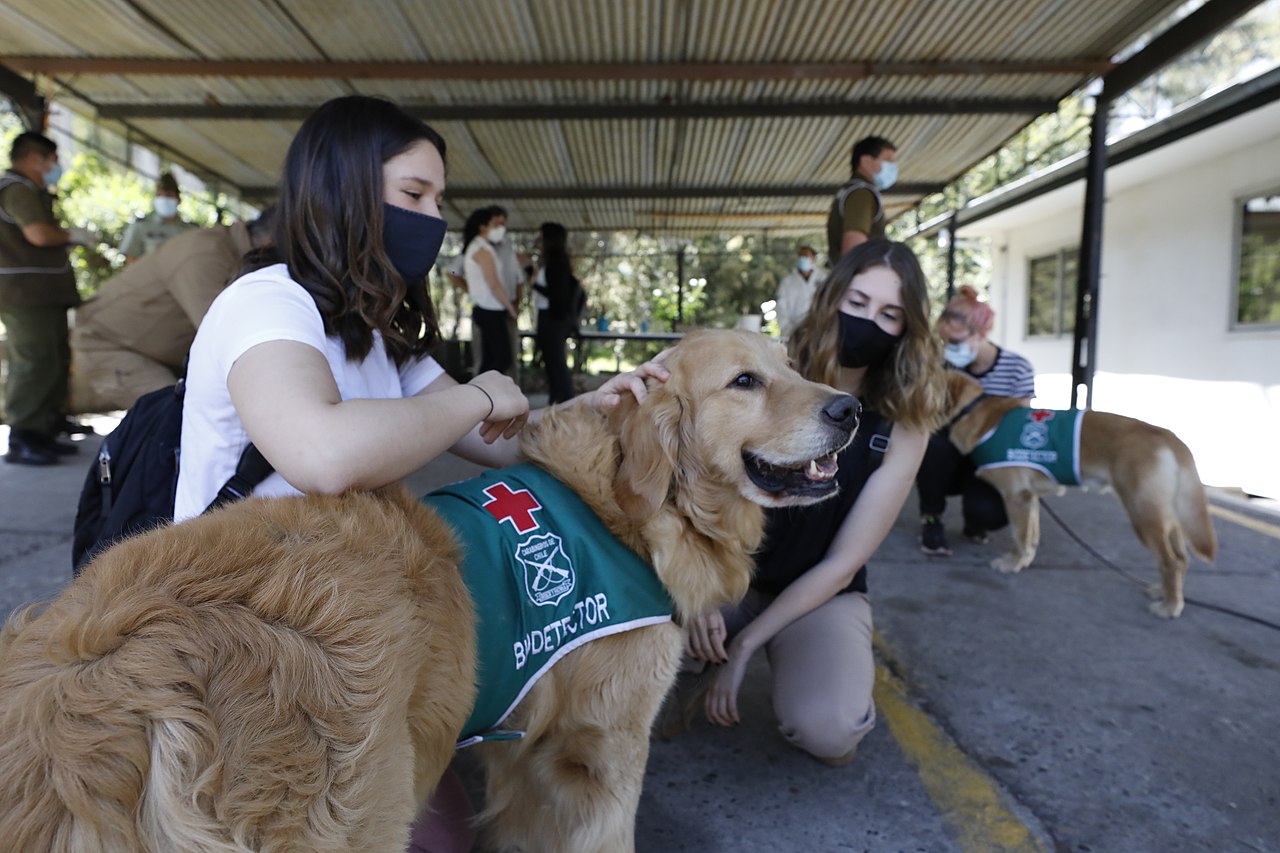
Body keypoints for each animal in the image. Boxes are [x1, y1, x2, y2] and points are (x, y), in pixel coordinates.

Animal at [2, 327, 860, 845]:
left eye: (792, 365)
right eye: (745, 381)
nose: (852, 407)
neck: (624, 509)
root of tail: (96, 673)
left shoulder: (526, 751)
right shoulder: (605, 748)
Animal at [947, 368, 1213, 614]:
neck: (973, 411)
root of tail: (1168, 435)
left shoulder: (1016, 497)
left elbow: (1019, 537)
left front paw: (1012, 563)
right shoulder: (1031, 497)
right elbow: (1031, 535)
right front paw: (1024, 561)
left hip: (1143, 515)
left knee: (1171, 562)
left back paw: (1170, 606)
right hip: (1166, 516)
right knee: (1181, 559)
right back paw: (1164, 591)